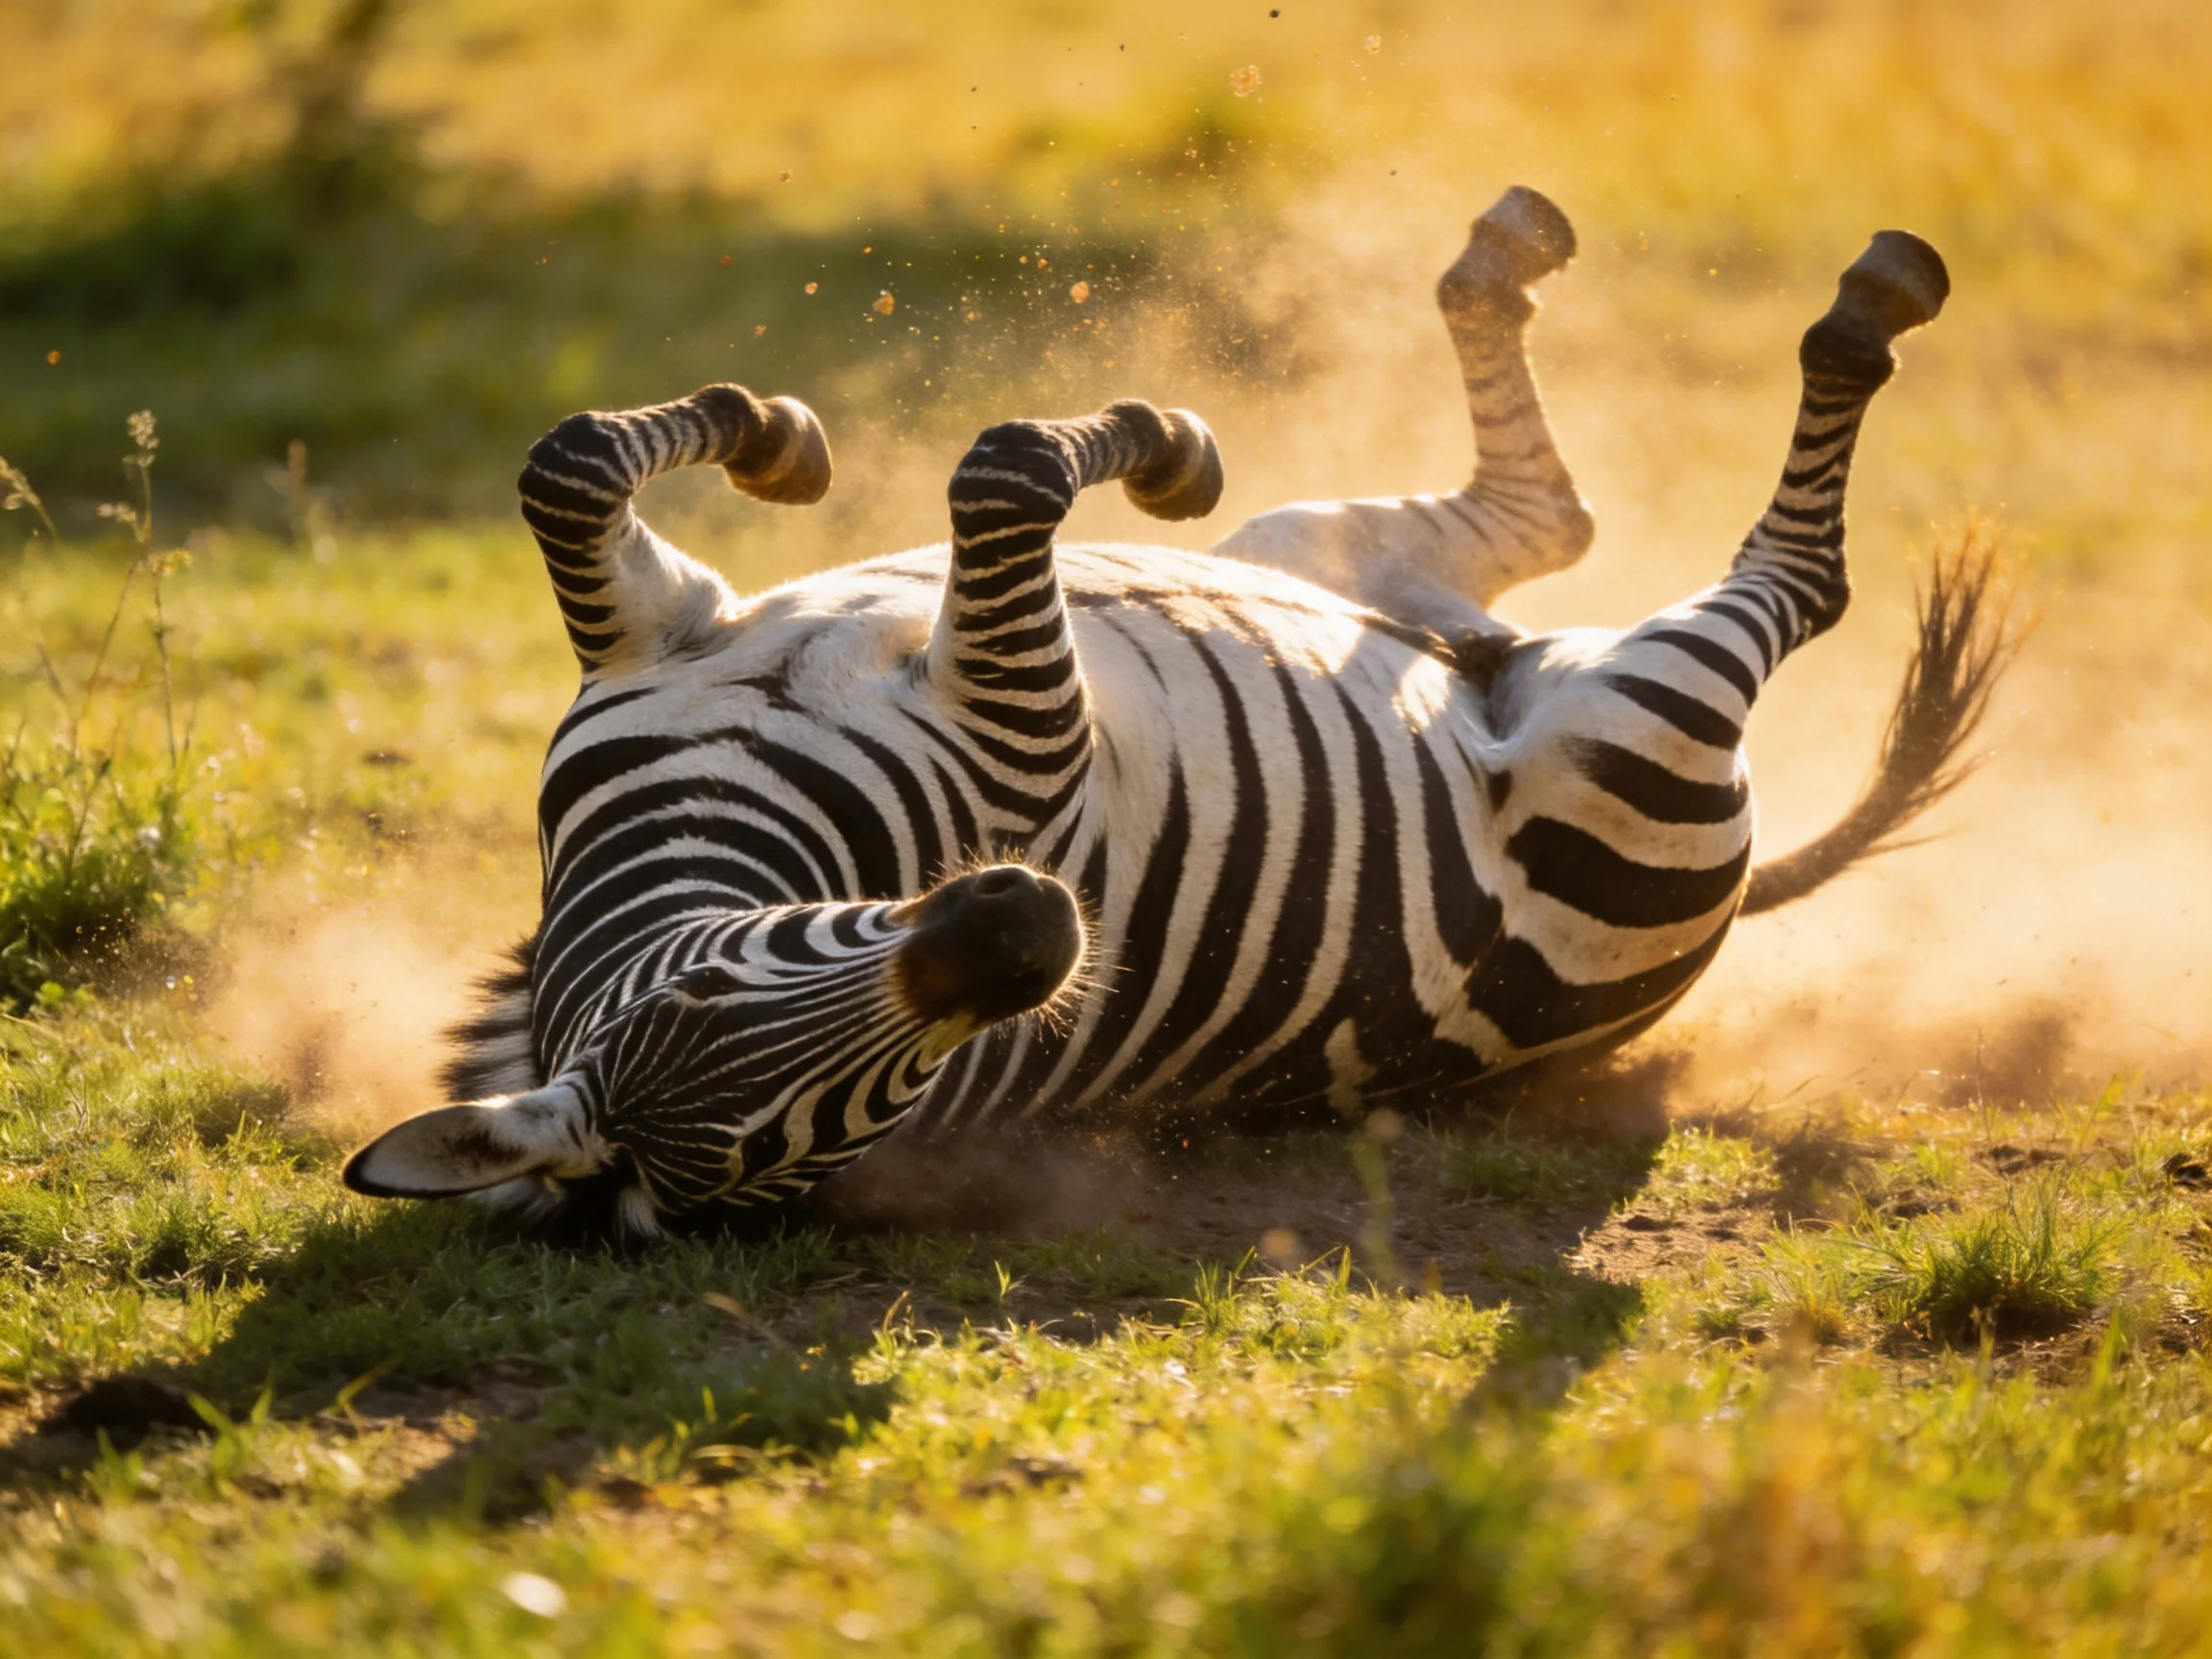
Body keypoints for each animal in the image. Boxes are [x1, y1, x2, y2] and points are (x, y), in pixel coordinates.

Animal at [345, 187, 2008, 1235]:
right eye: (883, 1107)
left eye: (701, 997)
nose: (1029, 927)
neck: (722, 817)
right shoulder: (1027, 724)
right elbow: (1002, 473)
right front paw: (1137, 439)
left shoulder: (655, 639)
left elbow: (569, 463)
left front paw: (780, 434)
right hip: (1635, 732)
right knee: (1795, 581)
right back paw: (1869, 308)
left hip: (1329, 554)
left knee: (1545, 517)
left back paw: (1507, 259)